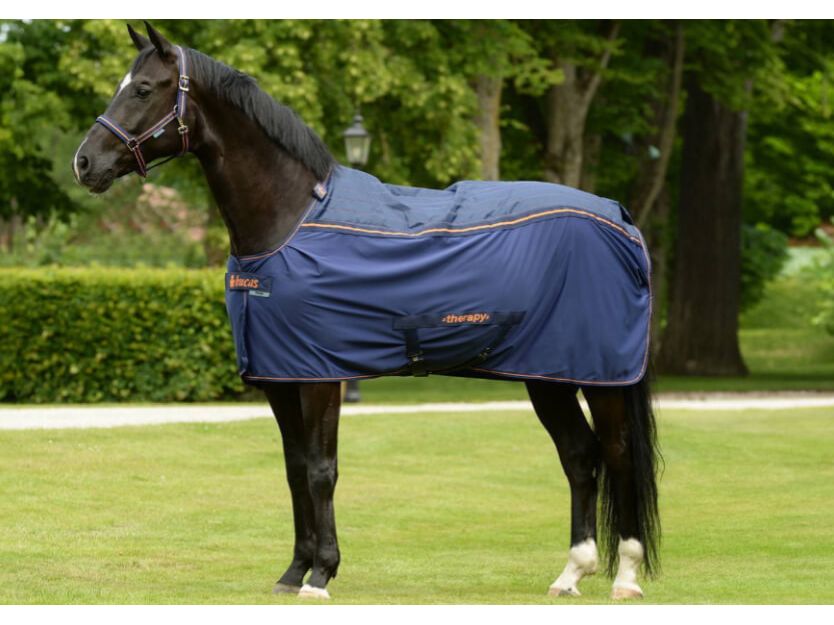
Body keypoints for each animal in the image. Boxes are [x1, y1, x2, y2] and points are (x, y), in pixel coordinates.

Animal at [72, 22, 660, 601]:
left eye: (142, 89)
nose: (85, 163)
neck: (287, 219)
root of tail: (620, 218)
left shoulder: (320, 376)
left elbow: (321, 470)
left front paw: (321, 575)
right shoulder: (280, 376)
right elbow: (294, 468)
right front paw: (293, 571)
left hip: (600, 376)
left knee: (618, 453)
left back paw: (626, 576)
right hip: (548, 375)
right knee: (580, 457)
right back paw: (571, 573)